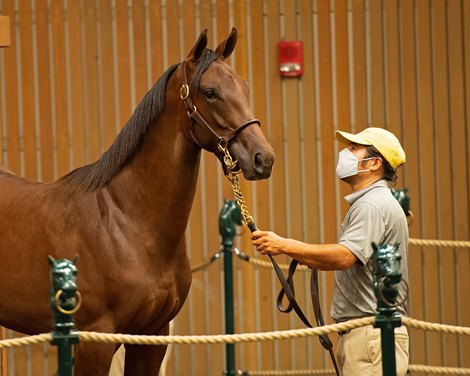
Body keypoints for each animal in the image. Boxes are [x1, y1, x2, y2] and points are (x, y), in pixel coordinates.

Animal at [0, 27, 274, 374]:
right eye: (210, 92)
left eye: (245, 87)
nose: (263, 158)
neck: (126, 222)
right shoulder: (95, 342)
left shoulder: (151, 337)